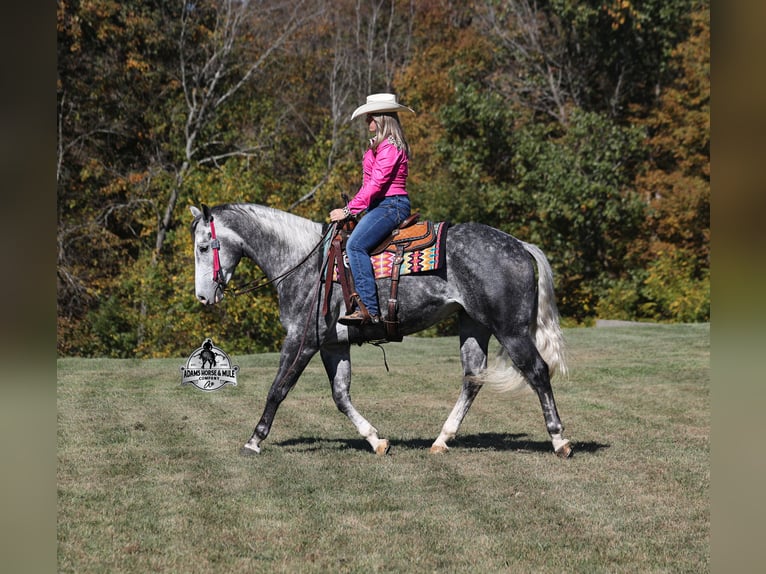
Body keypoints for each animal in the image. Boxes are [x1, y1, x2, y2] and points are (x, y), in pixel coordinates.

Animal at [189, 203, 572, 458]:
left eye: (204, 247)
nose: (203, 296)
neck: (308, 265)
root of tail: (520, 245)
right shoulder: (333, 346)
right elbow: (340, 395)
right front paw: (376, 440)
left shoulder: (302, 340)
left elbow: (278, 389)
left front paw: (254, 440)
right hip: (474, 325)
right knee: (473, 378)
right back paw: (441, 440)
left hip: (511, 330)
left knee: (538, 372)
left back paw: (559, 440)